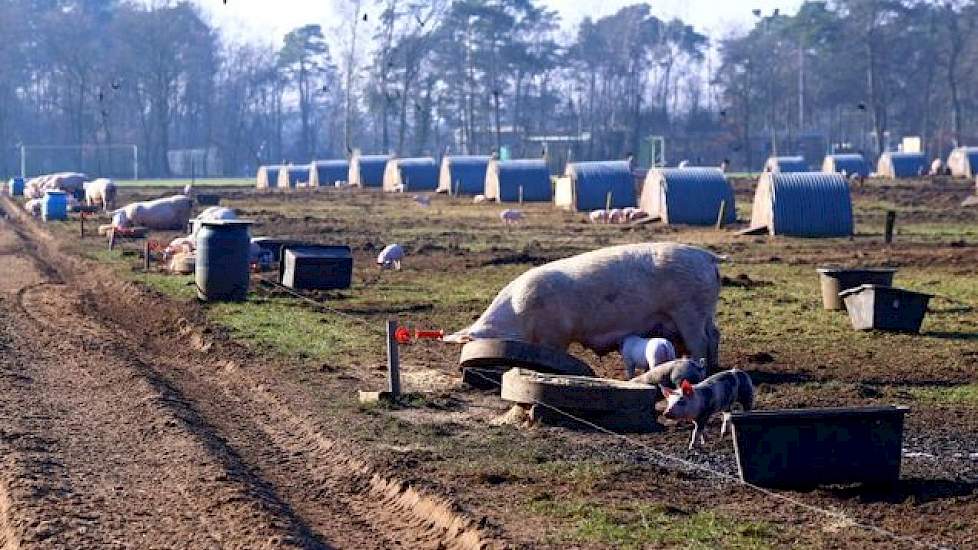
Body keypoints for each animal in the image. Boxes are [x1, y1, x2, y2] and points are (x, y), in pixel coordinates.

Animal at [442, 242, 724, 370]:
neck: (518, 316)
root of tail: (707, 257)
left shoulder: (556, 333)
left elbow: (554, 353)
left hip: (689, 310)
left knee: (700, 341)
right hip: (703, 312)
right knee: (714, 335)